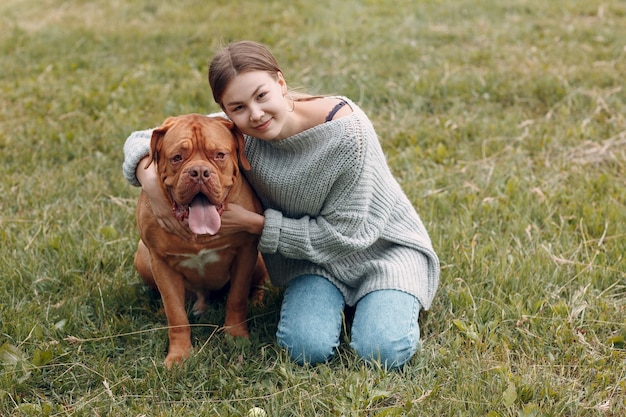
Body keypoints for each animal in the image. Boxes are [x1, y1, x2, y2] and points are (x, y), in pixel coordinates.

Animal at [134, 114, 266, 368]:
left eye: (219, 155)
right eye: (177, 157)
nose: (199, 171)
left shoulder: (245, 252)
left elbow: (237, 298)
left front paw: (236, 336)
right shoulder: (160, 261)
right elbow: (175, 313)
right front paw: (179, 355)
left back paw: (257, 300)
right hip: (142, 258)